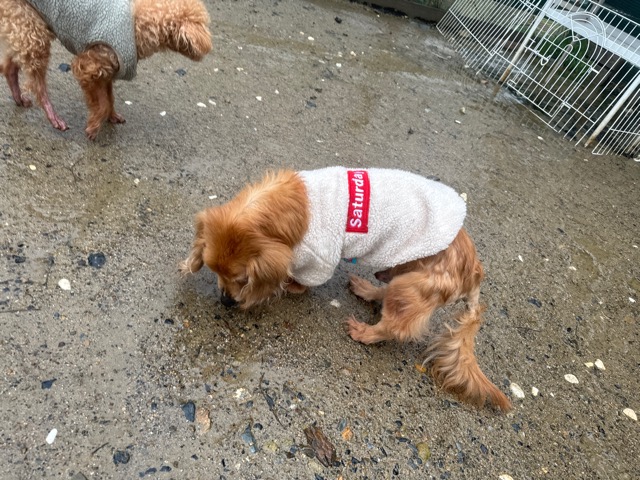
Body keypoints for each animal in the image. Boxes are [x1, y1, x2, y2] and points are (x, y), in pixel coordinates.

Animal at [0, 0, 212, 139]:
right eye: (203, 24)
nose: (208, 48)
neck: (137, 25)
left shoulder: (108, 70)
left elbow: (109, 99)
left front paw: (110, 116)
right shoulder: (87, 65)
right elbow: (101, 103)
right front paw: (94, 126)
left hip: (24, 25)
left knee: (10, 65)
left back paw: (18, 95)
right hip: (30, 26)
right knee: (37, 82)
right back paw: (52, 115)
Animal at [181, 167, 512, 411]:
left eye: (242, 279)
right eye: (214, 271)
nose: (225, 302)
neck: (290, 208)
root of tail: (474, 273)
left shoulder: (319, 259)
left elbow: (300, 281)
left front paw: (289, 285)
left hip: (409, 287)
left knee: (396, 326)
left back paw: (365, 332)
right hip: (402, 272)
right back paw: (367, 289)